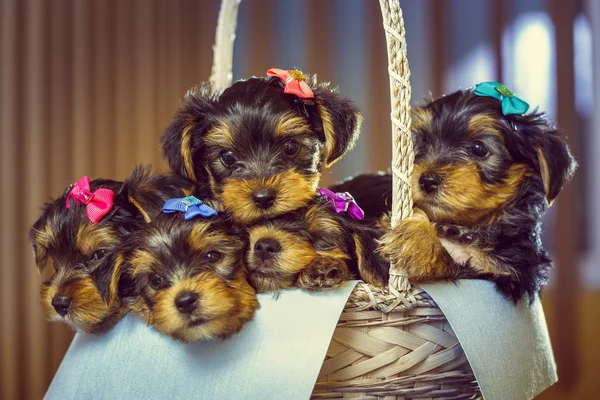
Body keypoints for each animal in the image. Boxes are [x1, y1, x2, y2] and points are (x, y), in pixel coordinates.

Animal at [380, 84, 576, 304]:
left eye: (479, 148)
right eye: (423, 141)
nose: (427, 180)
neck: (463, 228)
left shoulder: (505, 273)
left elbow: (459, 266)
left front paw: (418, 239)